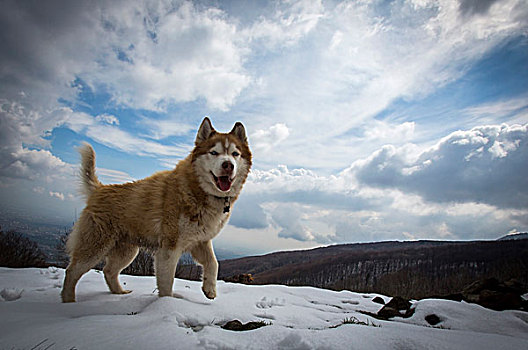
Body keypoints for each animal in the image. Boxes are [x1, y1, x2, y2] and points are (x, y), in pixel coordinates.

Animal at [62, 117, 252, 300]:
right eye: (214, 152)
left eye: (235, 154)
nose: (228, 165)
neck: (198, 190)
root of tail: (99, 189)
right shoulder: (169, 248)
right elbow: (167, 282)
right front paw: (166, 304)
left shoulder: (200, 241)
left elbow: (213, 263)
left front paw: (209, 288)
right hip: (95, 246)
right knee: (72, 271)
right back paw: (69, 301)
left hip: (127, 250)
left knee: (109, 271)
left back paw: (119, 293)